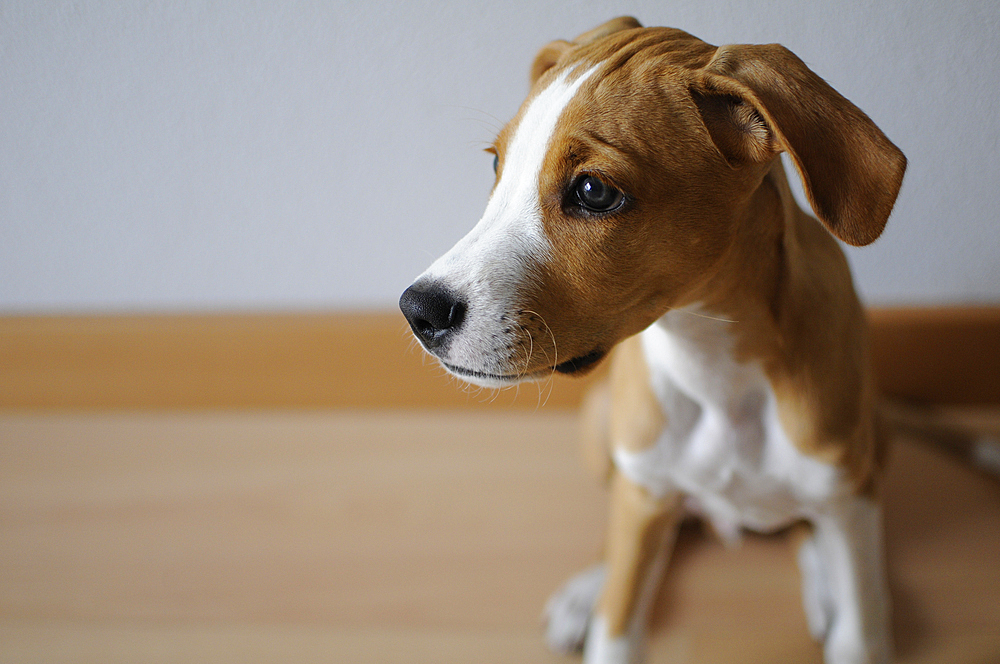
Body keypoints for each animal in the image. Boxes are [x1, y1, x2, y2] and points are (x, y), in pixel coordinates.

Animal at [398, 16, 908, 664]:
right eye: (496, 167)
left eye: (594, 191)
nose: (417, 310)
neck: (715, 368)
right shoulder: (641, 501)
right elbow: (618, 617)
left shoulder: (852, 498)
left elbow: (858, 622)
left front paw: (847, 594)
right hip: (607, 435)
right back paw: (586, 591)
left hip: (873, 440)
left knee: (806, 524)